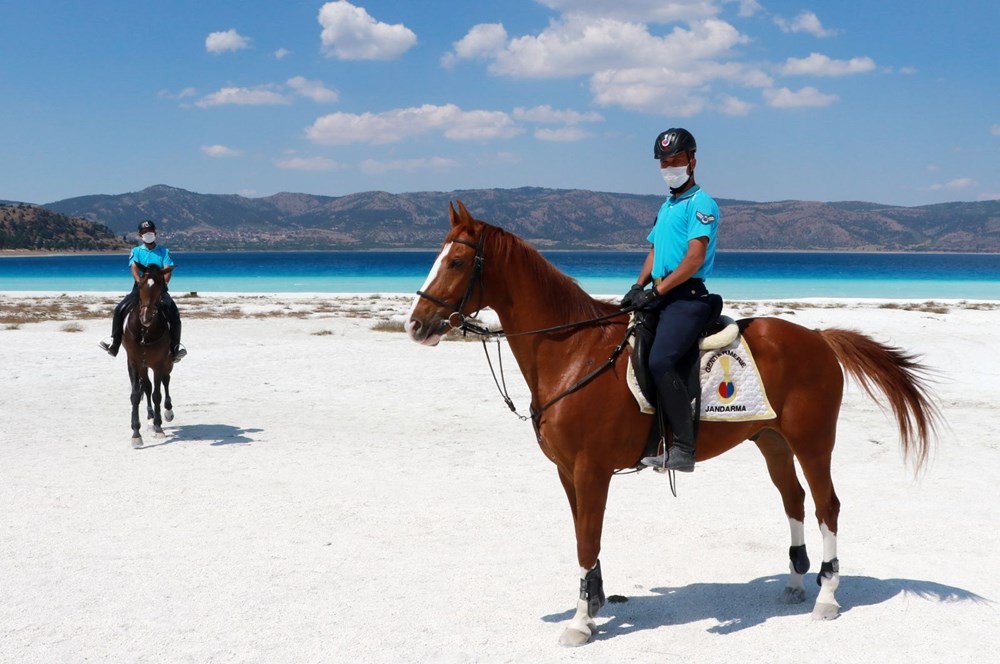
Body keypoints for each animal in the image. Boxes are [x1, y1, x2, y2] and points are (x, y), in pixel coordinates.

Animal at [122, 264, 176, 446]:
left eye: (160, 287)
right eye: (140, 286)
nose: (145, 317)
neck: (145, 332)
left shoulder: (159, 363)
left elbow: (157, 394)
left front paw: (159, 428)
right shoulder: (133, 362)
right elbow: (135, 396)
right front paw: (136, 433)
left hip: (167, 362)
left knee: (165, 381)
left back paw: (167, 413)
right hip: (144, 366)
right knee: (147, 386)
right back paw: (150, 418)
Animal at [404, 201, 936, 644]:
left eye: (456, 263)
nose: (415, 325)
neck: (574, 351)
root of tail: (819, 338)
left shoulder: (591, 470)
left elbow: (586, 540)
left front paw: (579, 623)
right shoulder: (567, 473)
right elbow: (582, 537)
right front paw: (594, 605)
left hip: (813, 442)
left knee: (828, 505)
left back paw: (826, 596)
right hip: (771, 441)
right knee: (795, 500)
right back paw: (794, 583)